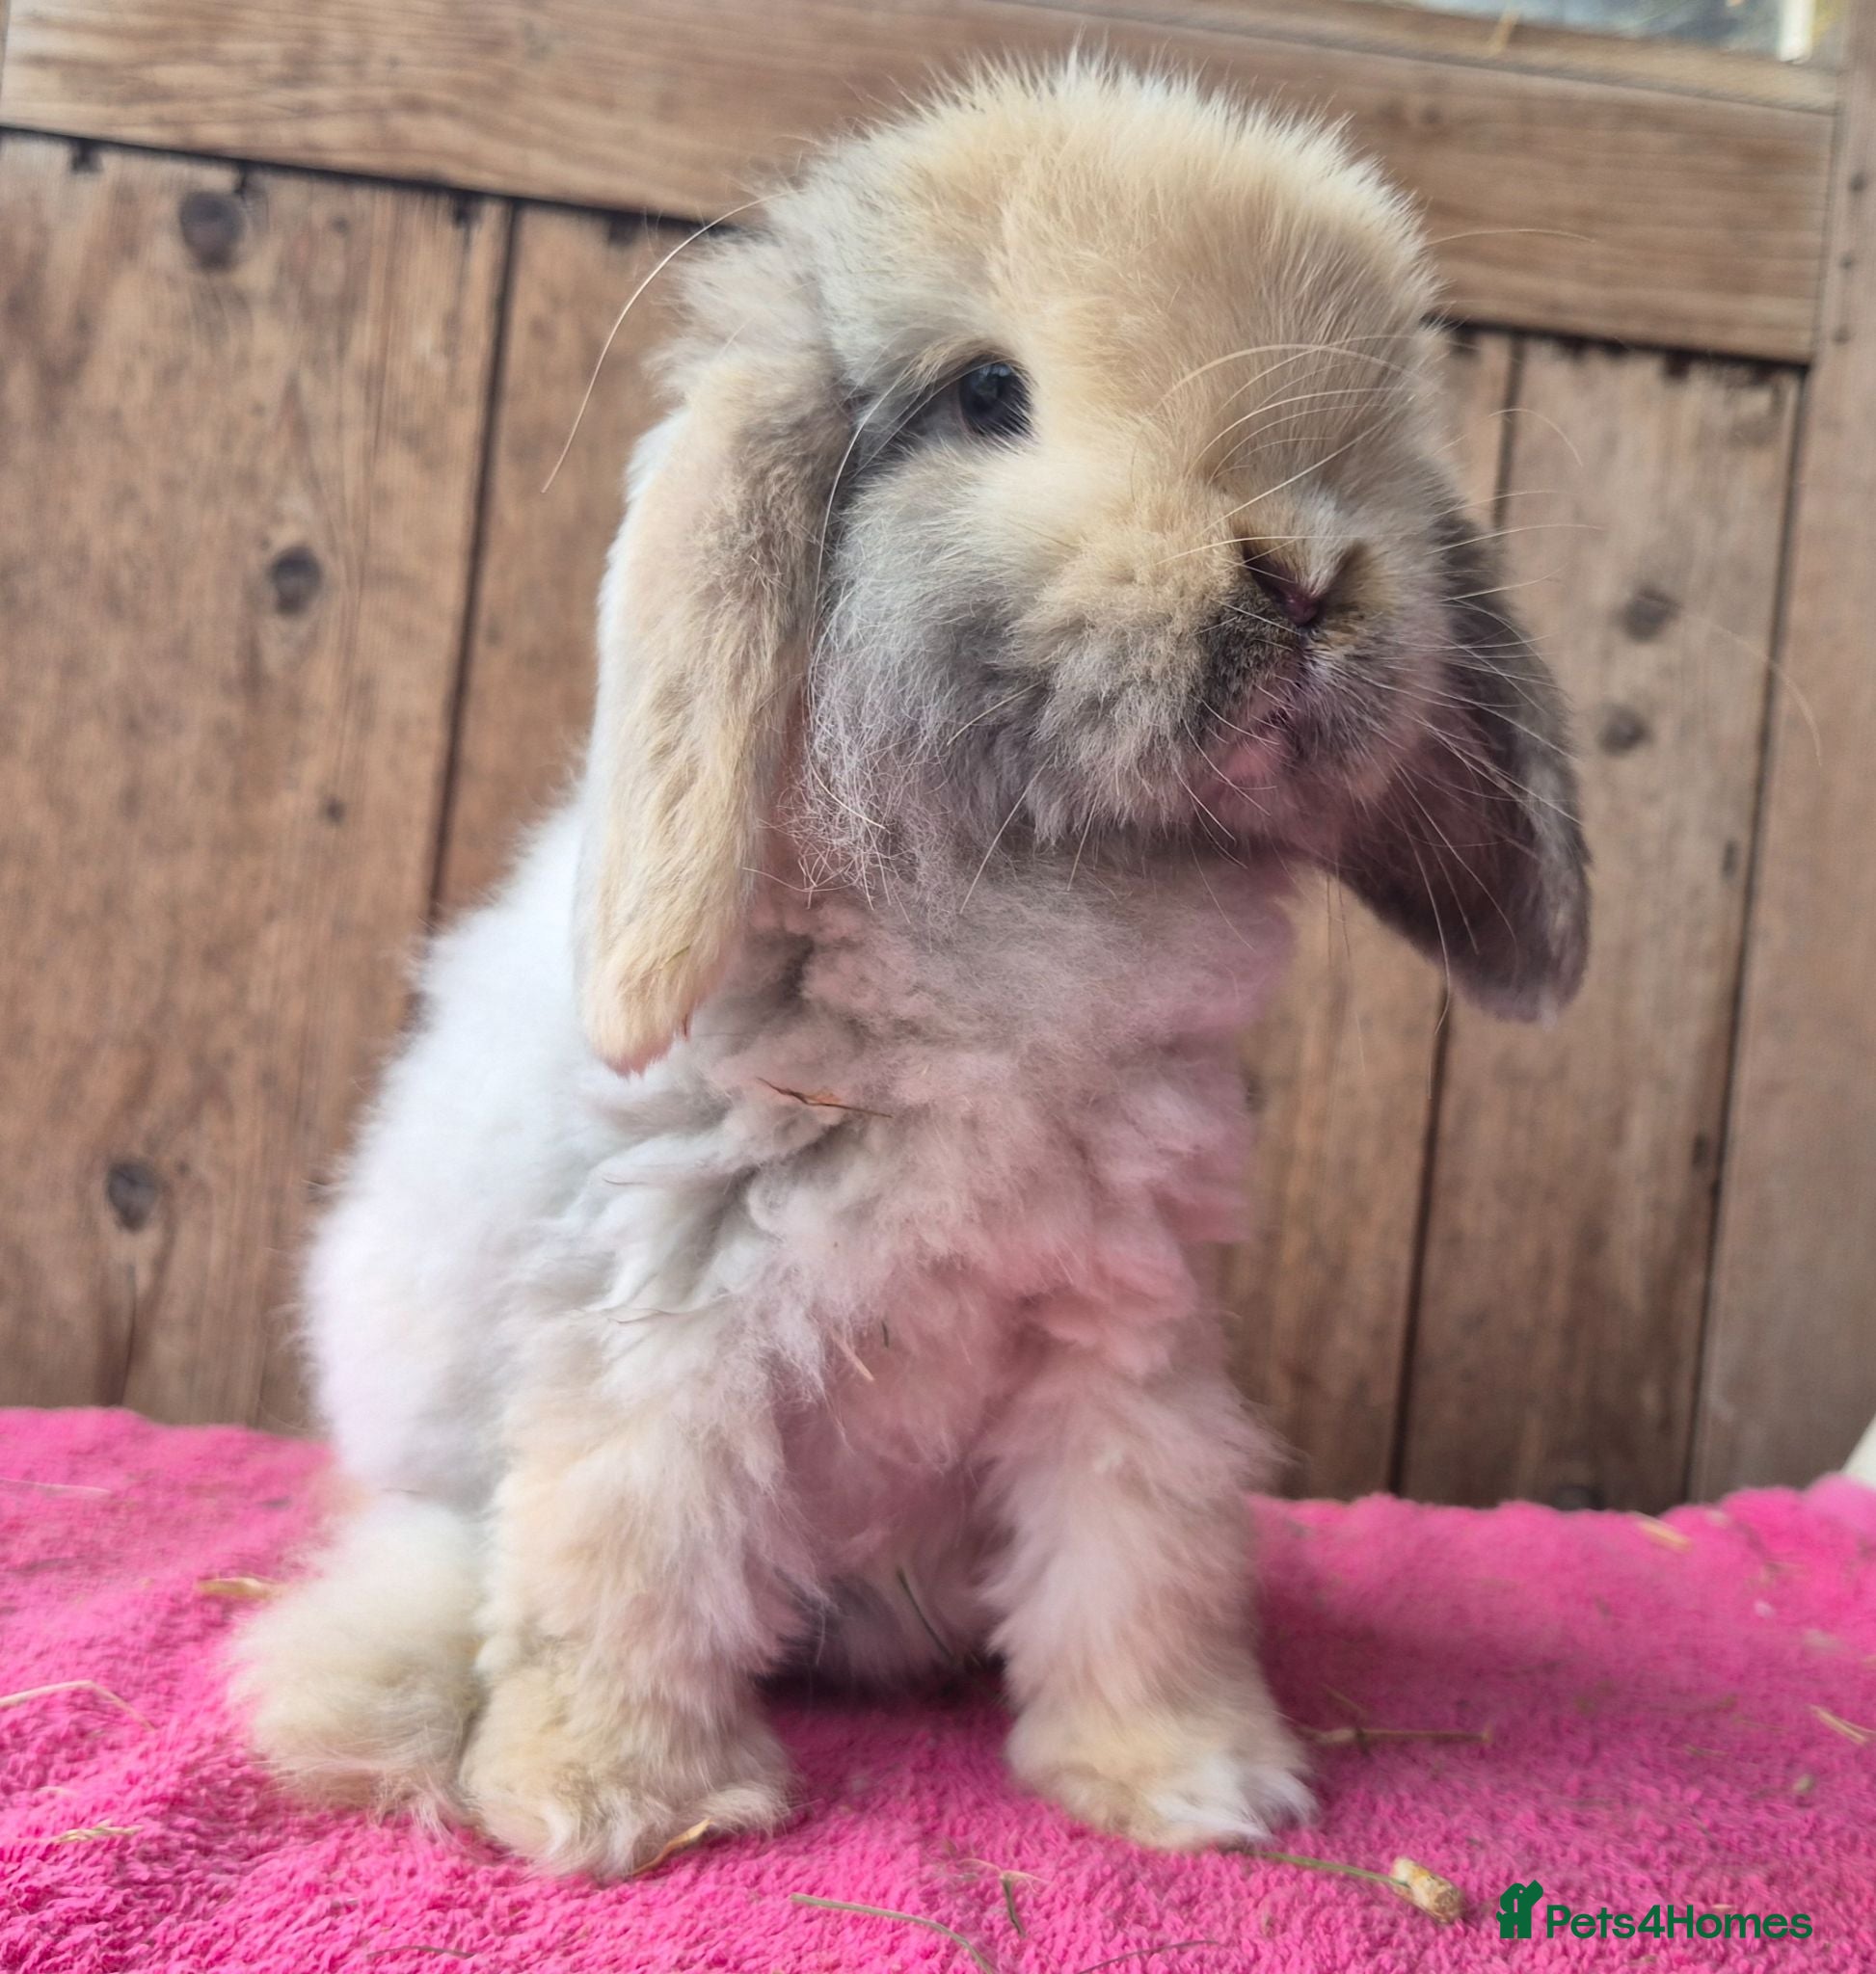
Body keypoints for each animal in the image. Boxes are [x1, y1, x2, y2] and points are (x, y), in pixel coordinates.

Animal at [233, 58, 1589, 1878]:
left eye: (1384, 425)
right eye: (986, 396)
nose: (1308, 570)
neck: (1029, 897)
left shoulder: (1122, 1342)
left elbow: (1139, 1559)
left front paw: (1187, 1783)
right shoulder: (653, 1317)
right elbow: (620, 1559)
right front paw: (613, 1801)